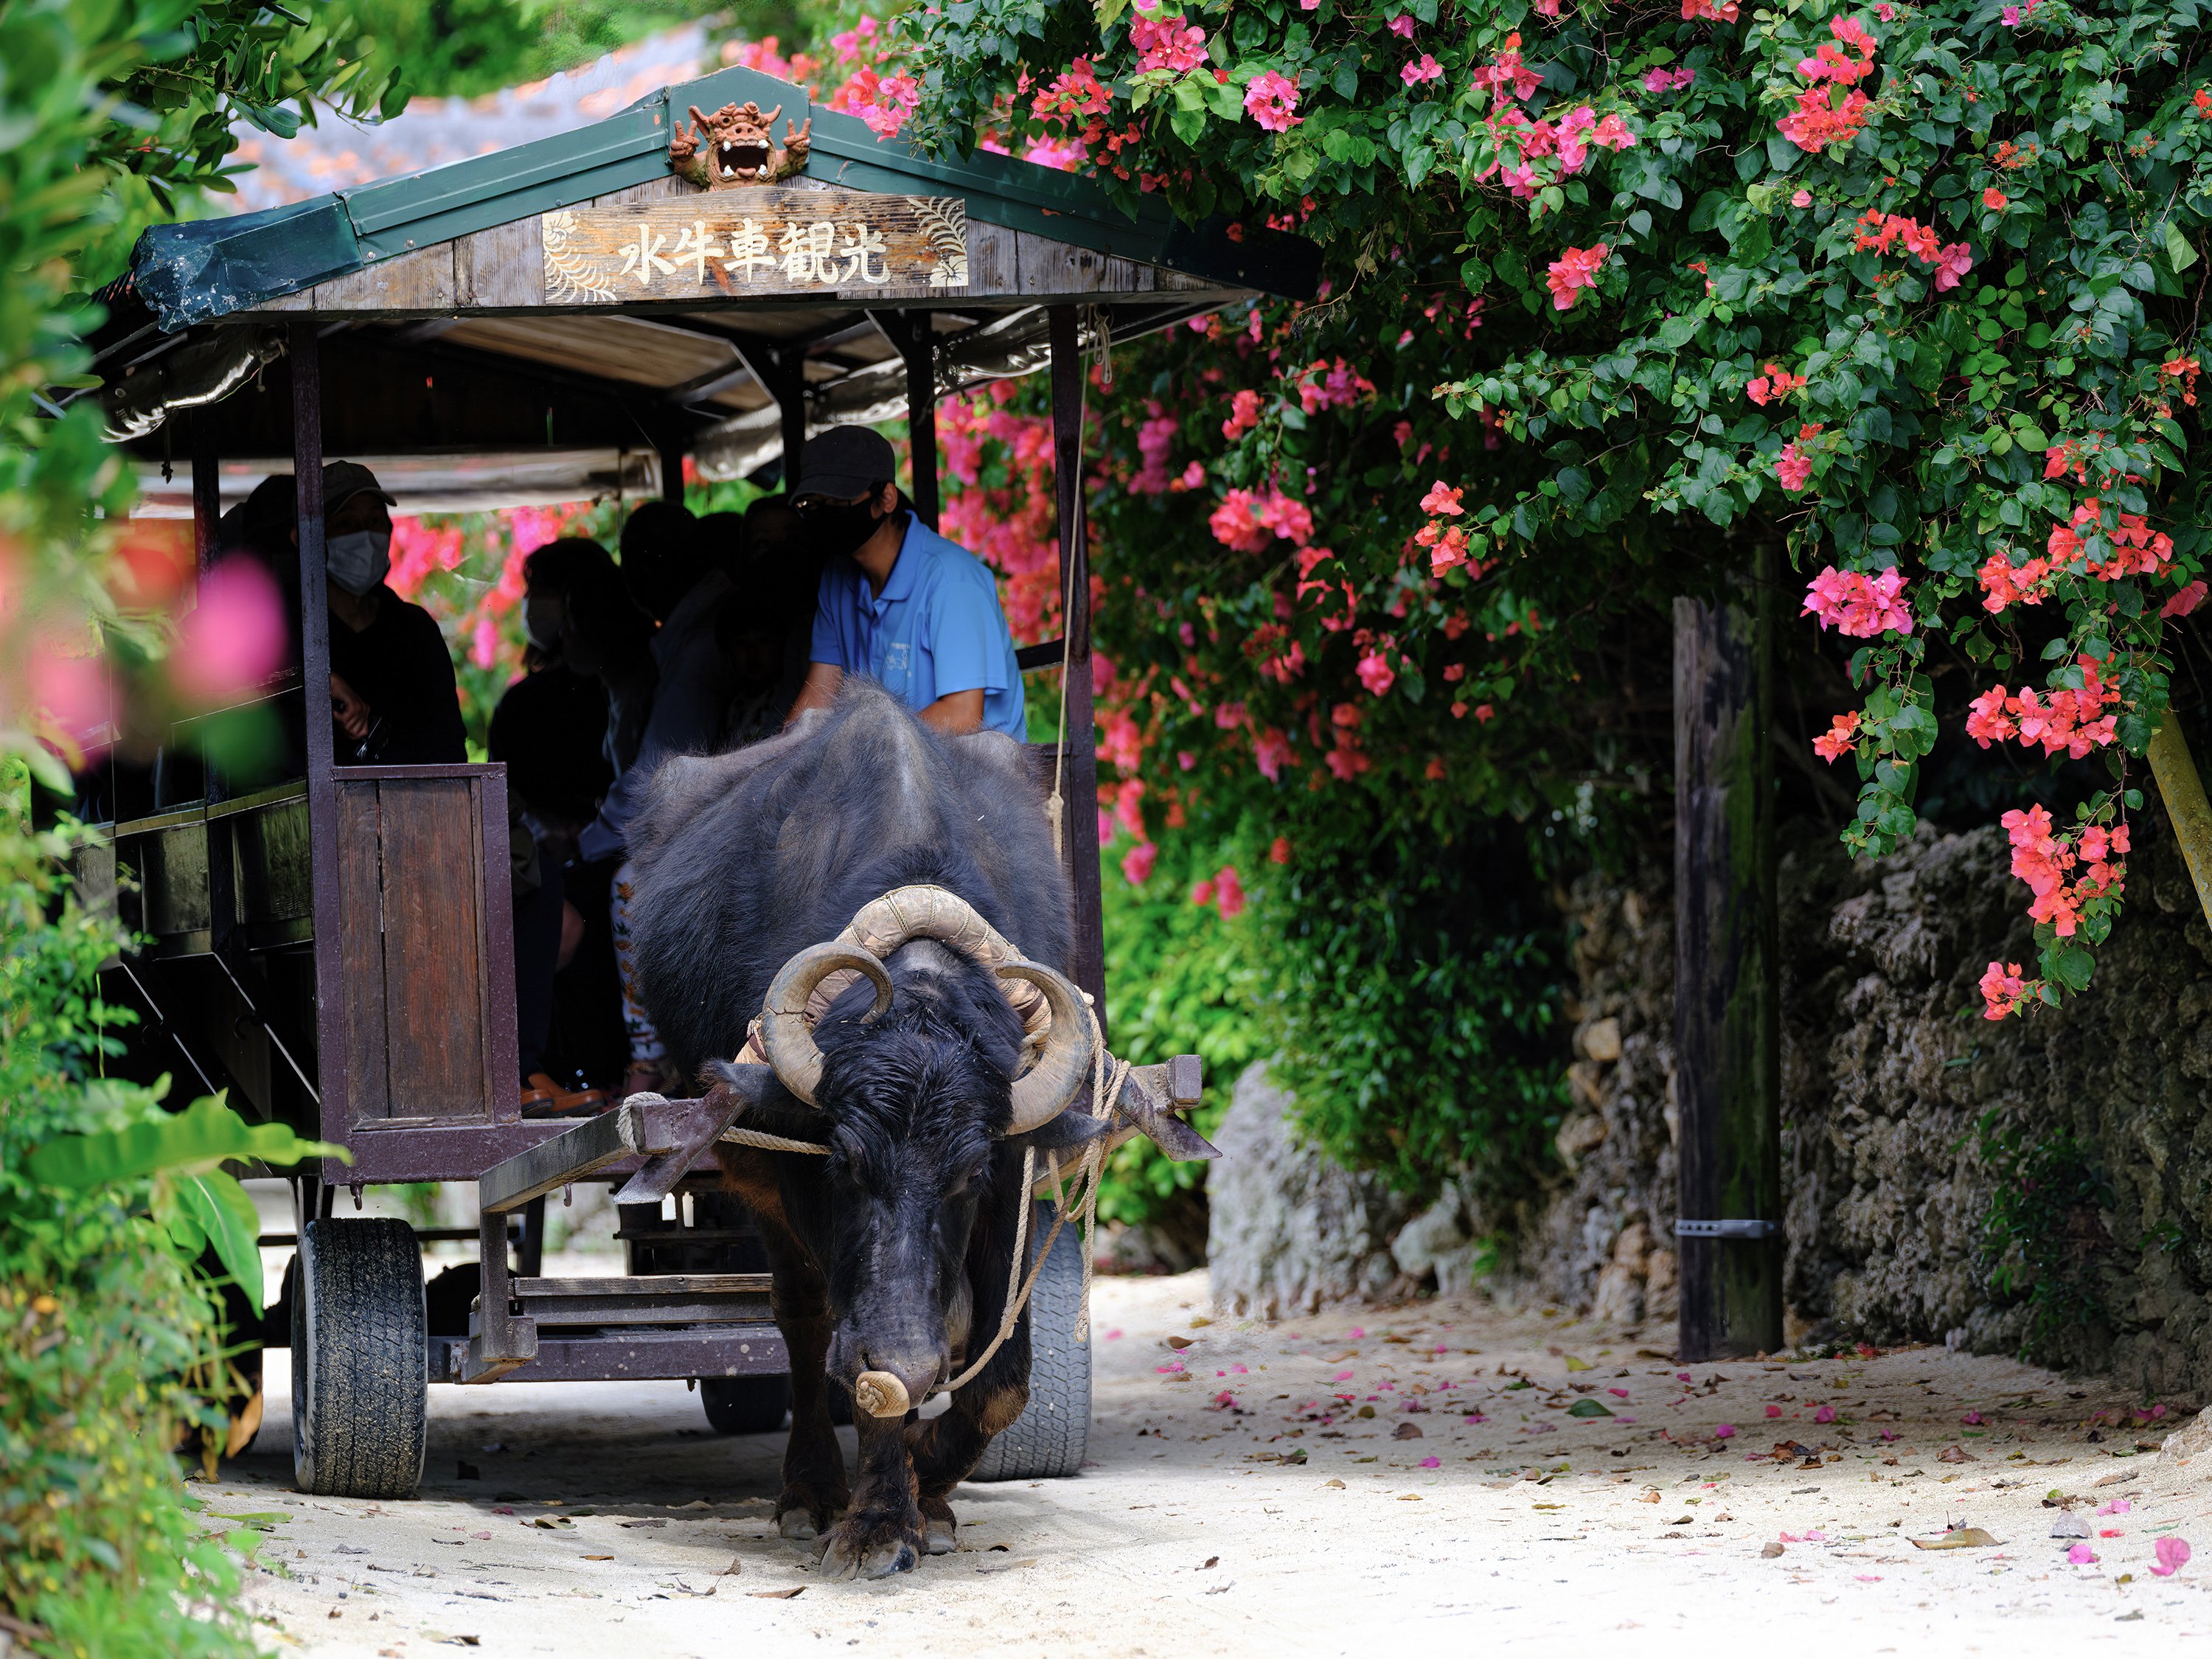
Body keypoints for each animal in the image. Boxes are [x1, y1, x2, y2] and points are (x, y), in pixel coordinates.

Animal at [633, 686, 1124, 1584]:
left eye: (968, 1175)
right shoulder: (795, 1188)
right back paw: (811, 1490)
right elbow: (863, 1362)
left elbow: (999, 1375)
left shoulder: (1015, 1176)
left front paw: (929, 1484)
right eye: (847, 1164)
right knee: (800, 1319)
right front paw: (879, 1520)